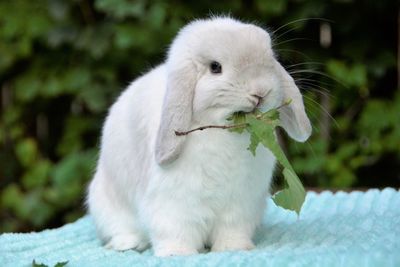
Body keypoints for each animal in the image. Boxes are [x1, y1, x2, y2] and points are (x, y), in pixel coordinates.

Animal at [87, 17, 312, 258]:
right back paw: (128, 244)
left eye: (269, 57)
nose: (260, 92)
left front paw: (234, 247)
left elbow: (232, 229)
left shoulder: (240, 204)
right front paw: (177, 253)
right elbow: (174, 230)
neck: (224, 133)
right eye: (215, 67)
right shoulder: (172, 204)